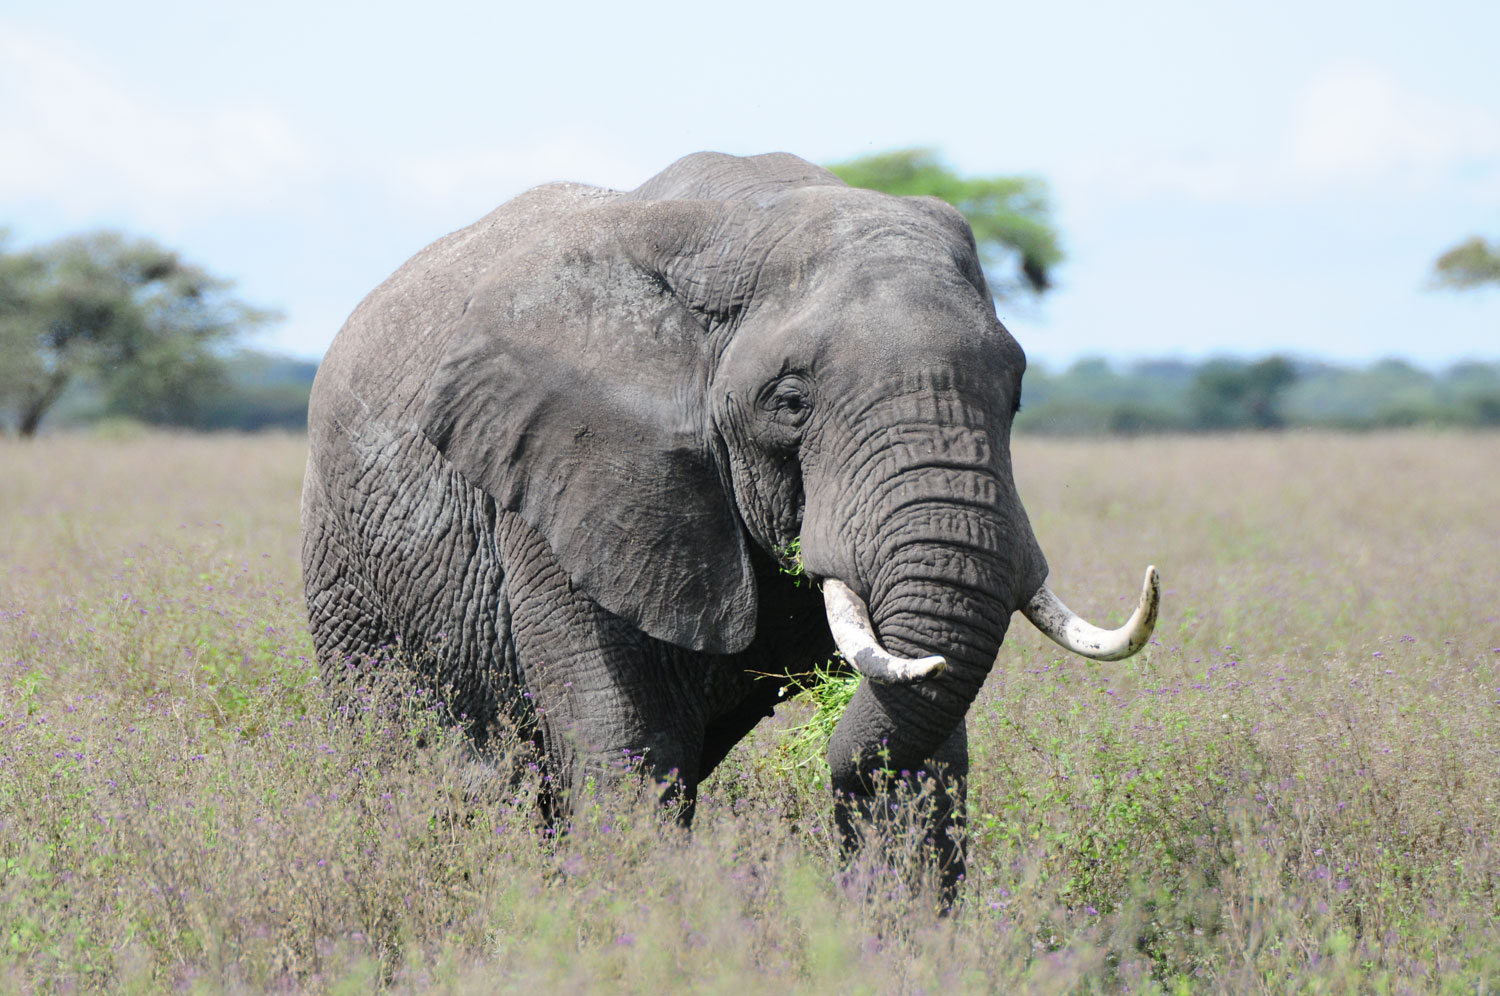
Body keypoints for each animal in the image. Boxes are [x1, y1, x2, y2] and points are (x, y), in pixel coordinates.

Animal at [298, 150, 1152, 900]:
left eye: (1015, 392)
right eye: (791, 402)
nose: (821, 757)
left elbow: (926, 770)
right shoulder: (561, 487)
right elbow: (627, 750)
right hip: (349, 576)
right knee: (414, 756)